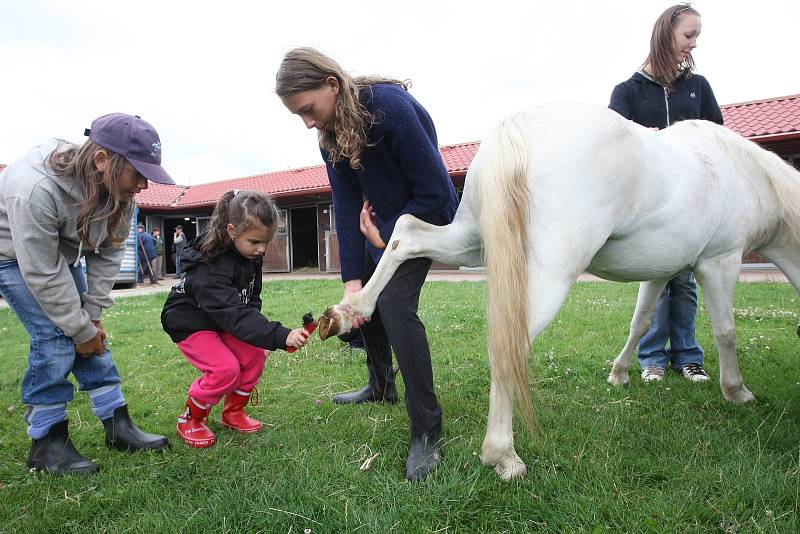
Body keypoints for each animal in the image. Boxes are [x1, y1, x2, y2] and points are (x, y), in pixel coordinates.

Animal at [314, 103, 800, 482]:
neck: (741, 172)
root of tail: (520, 125)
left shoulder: (661, 271)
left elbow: (640, 321)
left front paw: (620, 373)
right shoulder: (720, 261)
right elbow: (725, 331)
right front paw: (737, 392)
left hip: (470, 239)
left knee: (406, 233)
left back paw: (349, 310)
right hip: (545, 279)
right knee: (507, 348)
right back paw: (504, 456)